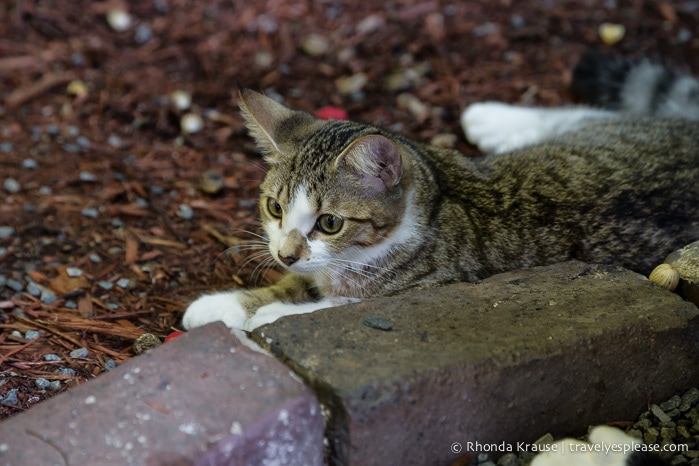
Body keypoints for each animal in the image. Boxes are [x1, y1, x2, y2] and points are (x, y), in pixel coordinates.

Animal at [182, 54, 699, 332]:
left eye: (330, 222)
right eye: (275, 206)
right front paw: (226, 304)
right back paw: (493, 118)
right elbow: (298, 282)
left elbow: (340, 306)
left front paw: (271, 315)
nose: (285, 253)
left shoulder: (437, 290)